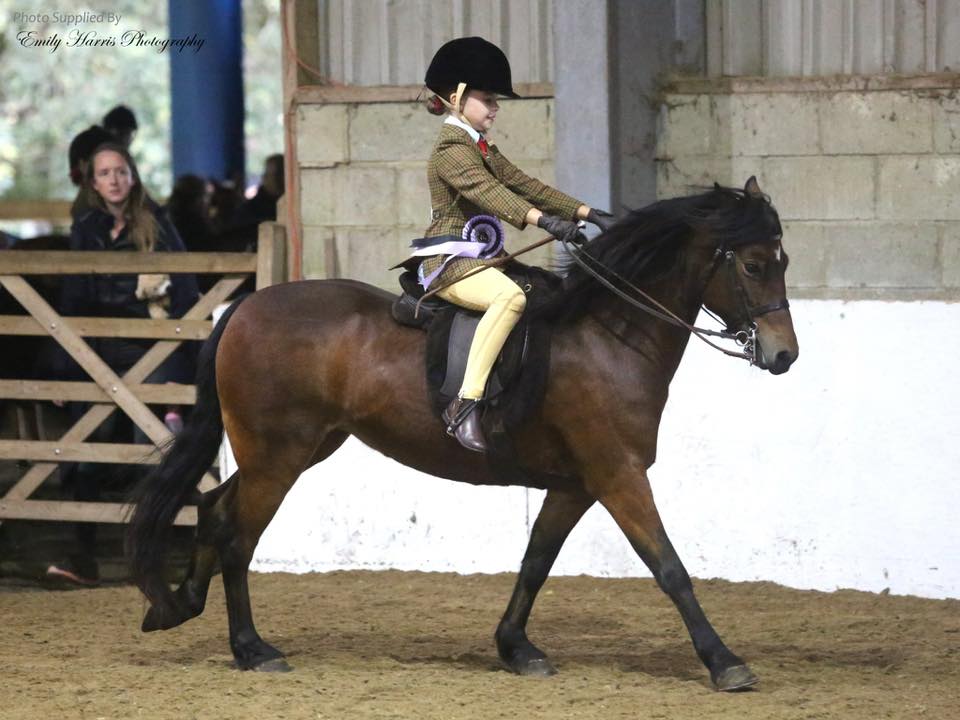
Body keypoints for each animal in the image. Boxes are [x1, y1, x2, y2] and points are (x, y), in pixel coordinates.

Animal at [127, 177, 798, 691]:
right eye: (754, 265)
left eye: (783, 262)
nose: (784, 355)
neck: (609, 334)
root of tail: (245, 306)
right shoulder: (618, 476)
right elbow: (669, 567)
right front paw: (725, 662)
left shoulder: (576, 484)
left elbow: (536, 561)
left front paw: (516, 647)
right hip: (277, 457)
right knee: (238, 535)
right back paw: (251, 648)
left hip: (298, 448)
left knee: (215, 508)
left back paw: (179, 605)